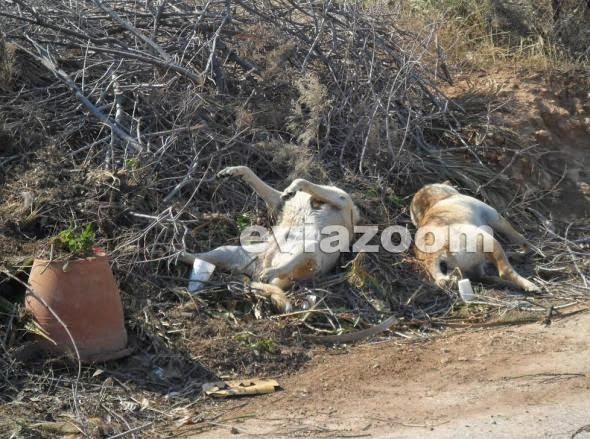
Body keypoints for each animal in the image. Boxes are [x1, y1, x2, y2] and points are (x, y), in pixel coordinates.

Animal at [182, 166, 360, 312]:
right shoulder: (279, 200)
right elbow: (251, 174)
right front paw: (232, 171)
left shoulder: (340, 199)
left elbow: (302, 181)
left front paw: (294, 189)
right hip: (230, 252)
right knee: (198, 258)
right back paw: (178, 255)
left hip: (310, 248)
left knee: (287, 265)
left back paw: (269, 272)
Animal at [412, 182, 540, 292]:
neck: (438, 199)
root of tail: (432, 255)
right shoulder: (496, 218)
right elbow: (518, 237)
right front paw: (530, 249)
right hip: (488, 240)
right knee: (505, 271)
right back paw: (529, 285)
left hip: (471, 267)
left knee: (485, 277)